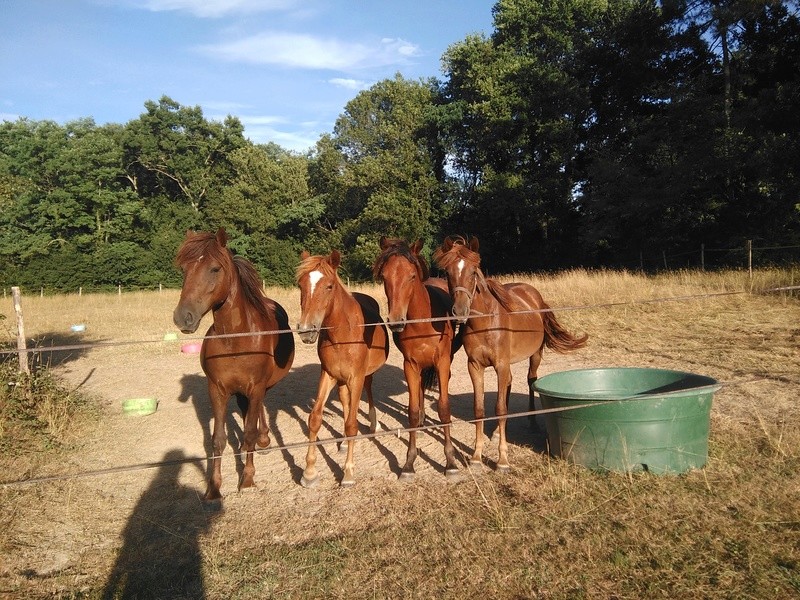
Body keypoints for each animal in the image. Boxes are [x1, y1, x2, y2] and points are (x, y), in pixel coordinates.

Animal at [172, 230, 294, 502]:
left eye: (215, 269)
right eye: (184, 269)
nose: (183, 317)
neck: (235, 339)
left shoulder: (256, 386)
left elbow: (248, 432)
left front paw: (247, 480)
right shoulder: (217, 390)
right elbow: (218, 439)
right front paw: (214, 488)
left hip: (260, 387)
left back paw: (263, 440)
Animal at [296, 248, 390, 488]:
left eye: (329, 286)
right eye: (301, 285)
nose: (306, 330)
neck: (343, 334)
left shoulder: (356, 377)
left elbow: (351, 425)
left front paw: (347, 473)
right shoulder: (328, 374)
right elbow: (315, 418)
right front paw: (309, 472)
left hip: (364, 376)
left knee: (367, 392)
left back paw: (373, 424)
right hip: (340, 380)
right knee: (346, 402)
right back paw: (345, 444)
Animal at [374, 238, 462, 478]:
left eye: (412, 275)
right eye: (384, 277)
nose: (396, 321)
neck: (423, 322)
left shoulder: (441, 362)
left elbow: (444, 408)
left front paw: (450, 461)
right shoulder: (410, 365)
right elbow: (412, 412)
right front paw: (409, 463)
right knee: (421, 389)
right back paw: (423, 423)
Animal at [438, 237, 588, 472]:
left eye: (473, 271)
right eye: (447, 272)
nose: (460, 312)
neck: (486, 323)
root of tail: (534, 295)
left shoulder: (501, 364)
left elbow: (500, 409)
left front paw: (502, 461)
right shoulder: (475, 366)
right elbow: (479, 408)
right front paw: (476, 457)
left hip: (534, 355)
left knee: (530, 381)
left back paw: (532, 422)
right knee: (509, 384)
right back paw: (498, 432)